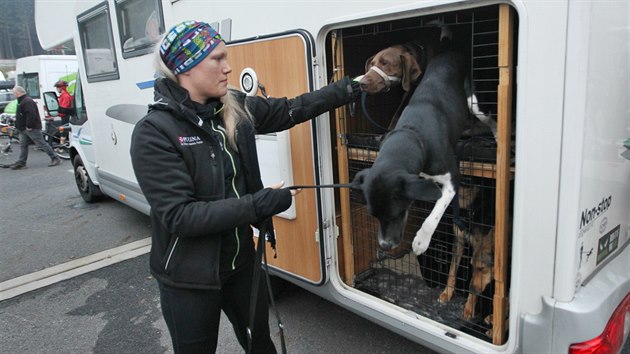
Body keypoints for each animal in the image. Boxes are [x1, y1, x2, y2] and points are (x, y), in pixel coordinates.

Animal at [354, 51, 472, 256]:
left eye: (397, 213)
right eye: (373, 215)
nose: (384, 246)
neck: (412, 132)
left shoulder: (452, 178)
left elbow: (436, 211)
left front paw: (421, 241)